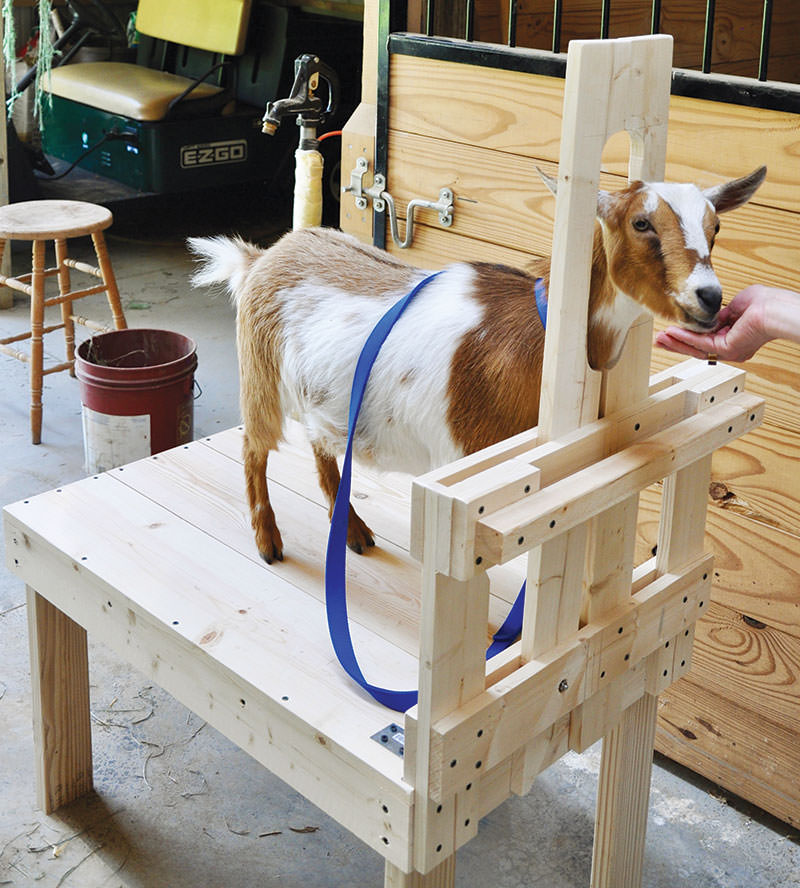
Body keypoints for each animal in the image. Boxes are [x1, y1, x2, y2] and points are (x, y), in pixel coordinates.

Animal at [189, 165, 766, 564]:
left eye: (715, 228)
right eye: (642, 222)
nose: (710, 298)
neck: (541, 336)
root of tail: (262, 258)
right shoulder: (472, 464)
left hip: (320, 399)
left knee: (321, 447)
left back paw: (353, 533)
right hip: (259, 380)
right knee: (254, 449)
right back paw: (269, 541)